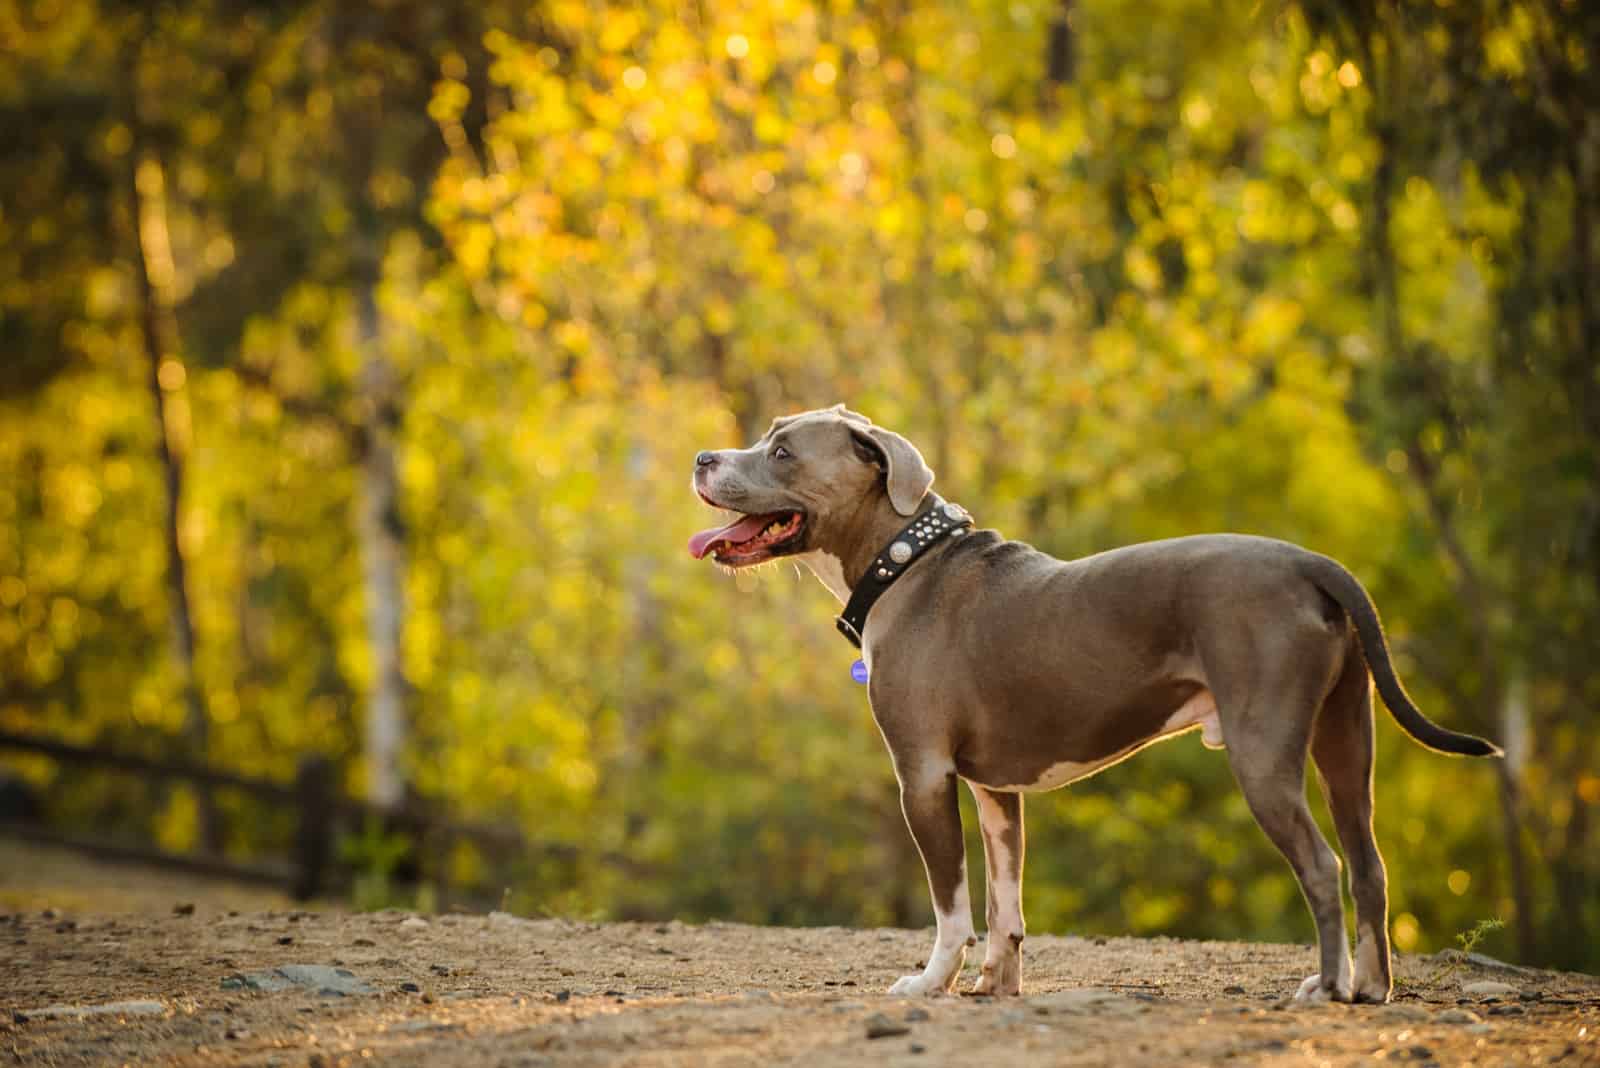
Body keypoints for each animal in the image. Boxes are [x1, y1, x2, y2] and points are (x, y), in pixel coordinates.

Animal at [684, 402, 1497, 1004]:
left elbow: (951, 904)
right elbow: (1004, 900)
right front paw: (996, 984)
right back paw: (1371, 988)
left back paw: (1325, 988)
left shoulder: (923, 776)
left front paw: (930, 982)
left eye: (782, 452)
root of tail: (1310, 563)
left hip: (1265, 755)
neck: (904, 560)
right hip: (1344, 746)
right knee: (1368, 865)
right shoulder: (994, 789)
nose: (702, 458)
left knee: (1323, 867)